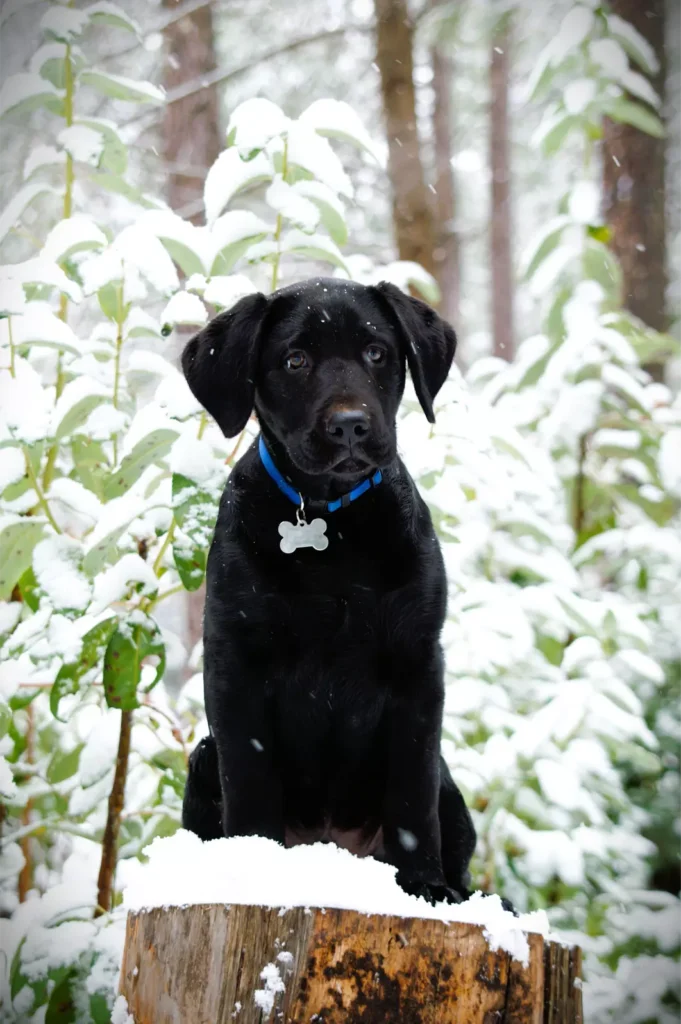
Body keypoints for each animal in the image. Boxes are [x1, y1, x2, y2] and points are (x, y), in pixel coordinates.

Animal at [182, 274, 477, 905]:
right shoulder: (235, 661)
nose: (349, 425)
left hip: (450, 786)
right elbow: (250, 778)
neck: (330, 518)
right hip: (201, 757)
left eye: (376, 353)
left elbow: (412, 797)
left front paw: (424, 885)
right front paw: (251, 868)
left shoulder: (418, 664)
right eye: (295, 360)